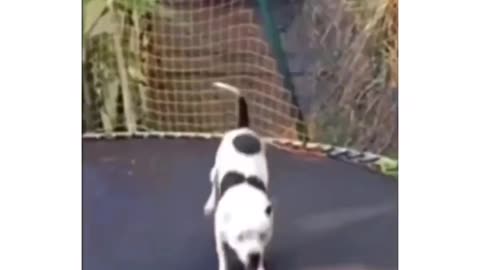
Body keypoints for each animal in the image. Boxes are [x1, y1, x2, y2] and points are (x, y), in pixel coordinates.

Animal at [203, 82, 274, 270]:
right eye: (240, 237)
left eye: (263, 236)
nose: (254, 256)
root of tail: (243, 129)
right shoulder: (220, 236)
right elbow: (222, 255)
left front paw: (260, 265)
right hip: (215, 169)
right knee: (213, 184)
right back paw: (209, 203)